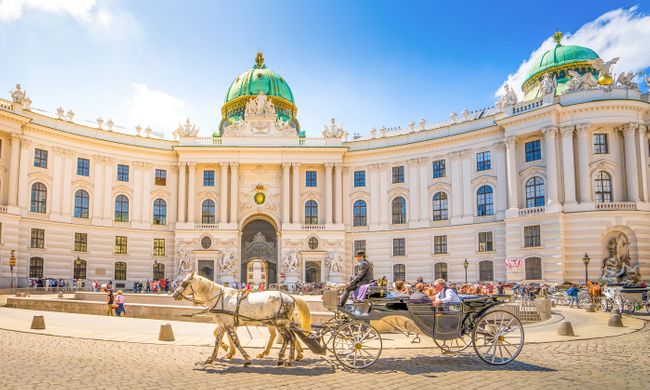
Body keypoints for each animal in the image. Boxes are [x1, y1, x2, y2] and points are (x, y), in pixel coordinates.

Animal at [172, 272, 308, 368]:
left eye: (184, 283)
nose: (174, 295)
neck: (220, 298)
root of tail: (290, 297)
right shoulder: (222, 324)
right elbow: (217, 341)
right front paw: (211, 359)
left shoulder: (228, 324)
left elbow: (236, 341)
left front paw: (246, 359)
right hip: (282, 323)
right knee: (291, 337)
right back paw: (287, 358)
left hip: (278, 323)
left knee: (288, 338)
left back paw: (285, 359)